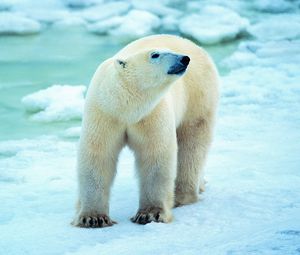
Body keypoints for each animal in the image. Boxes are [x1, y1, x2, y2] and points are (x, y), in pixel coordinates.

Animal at [72, 34, 218, 227]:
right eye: (155, 54)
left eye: (169, 51)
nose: (184, 59)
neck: (126, 108)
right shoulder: (104, 114)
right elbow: (98, 155)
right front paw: (93, 218)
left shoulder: (151, 114)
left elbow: (155, 156)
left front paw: (150, 214)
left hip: (197, 97)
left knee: (192, 144)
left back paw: (182, 196)